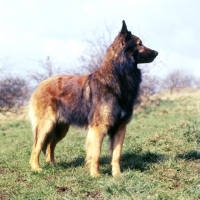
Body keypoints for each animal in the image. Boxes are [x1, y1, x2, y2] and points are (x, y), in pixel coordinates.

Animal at [29, 20, 158, 177]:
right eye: (139, 44)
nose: (156, 52)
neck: (117, 76)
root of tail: (39, 85)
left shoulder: (120, 128)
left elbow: (117, 155)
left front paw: (117, 175)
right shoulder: (98, 128)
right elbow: (96, 154)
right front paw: (96, 175)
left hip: (60, 128)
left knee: (50, 145)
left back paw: (53, 164)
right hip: (46, 125)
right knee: (36, 147)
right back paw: (36, 169)